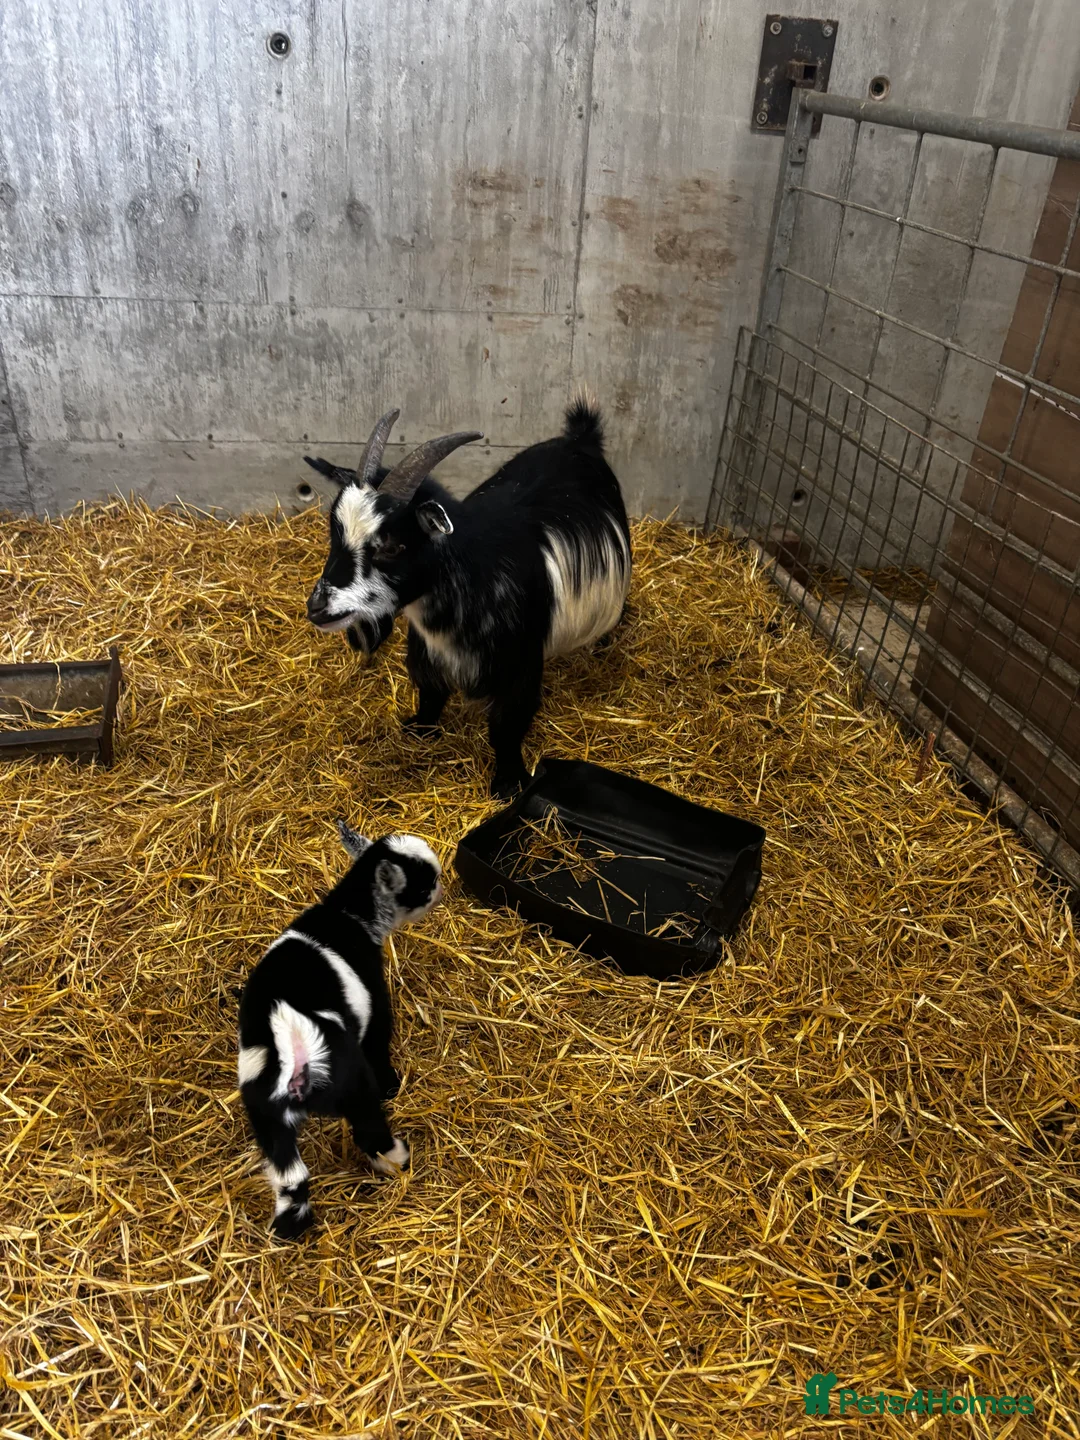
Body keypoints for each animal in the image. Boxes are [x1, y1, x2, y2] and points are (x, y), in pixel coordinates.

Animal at [236, 819, 441, 1240]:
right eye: (425, 882)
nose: (441, 887)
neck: (347, 911)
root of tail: (292, 1042)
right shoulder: (376, 996)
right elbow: (380, 1037)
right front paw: (393, 1085)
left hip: (264, 1112)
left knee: (289, 1175)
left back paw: (289, 1228)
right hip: (352, 1084)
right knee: (368, 1129)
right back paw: (398, 1158)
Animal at [303, 398, 632, 797]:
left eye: (392, 546)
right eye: (334, 534)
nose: (318, 607)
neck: (475, 572)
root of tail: (579, 438)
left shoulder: (521, 662)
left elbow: (508, 724)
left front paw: (509, 783)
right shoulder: (426, 648)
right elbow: (430, 690)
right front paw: (420, 729)